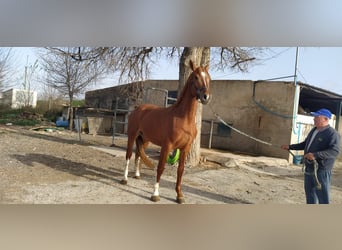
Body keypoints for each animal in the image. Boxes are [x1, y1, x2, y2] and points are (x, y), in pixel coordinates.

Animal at [120, 60, 211, 203]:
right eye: (196, 77)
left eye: (208, 78)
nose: (205, 97)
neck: (182, 118)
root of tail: (138, 108)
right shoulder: (167, 146)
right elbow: (161, 167)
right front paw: (155, 194)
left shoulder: (185, 148)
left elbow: (180, 170)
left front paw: (179, 195)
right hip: (132, 136)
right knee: (129, 155)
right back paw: (124, 179)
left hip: (145, 140)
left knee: (138, 154)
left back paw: (137, 175)